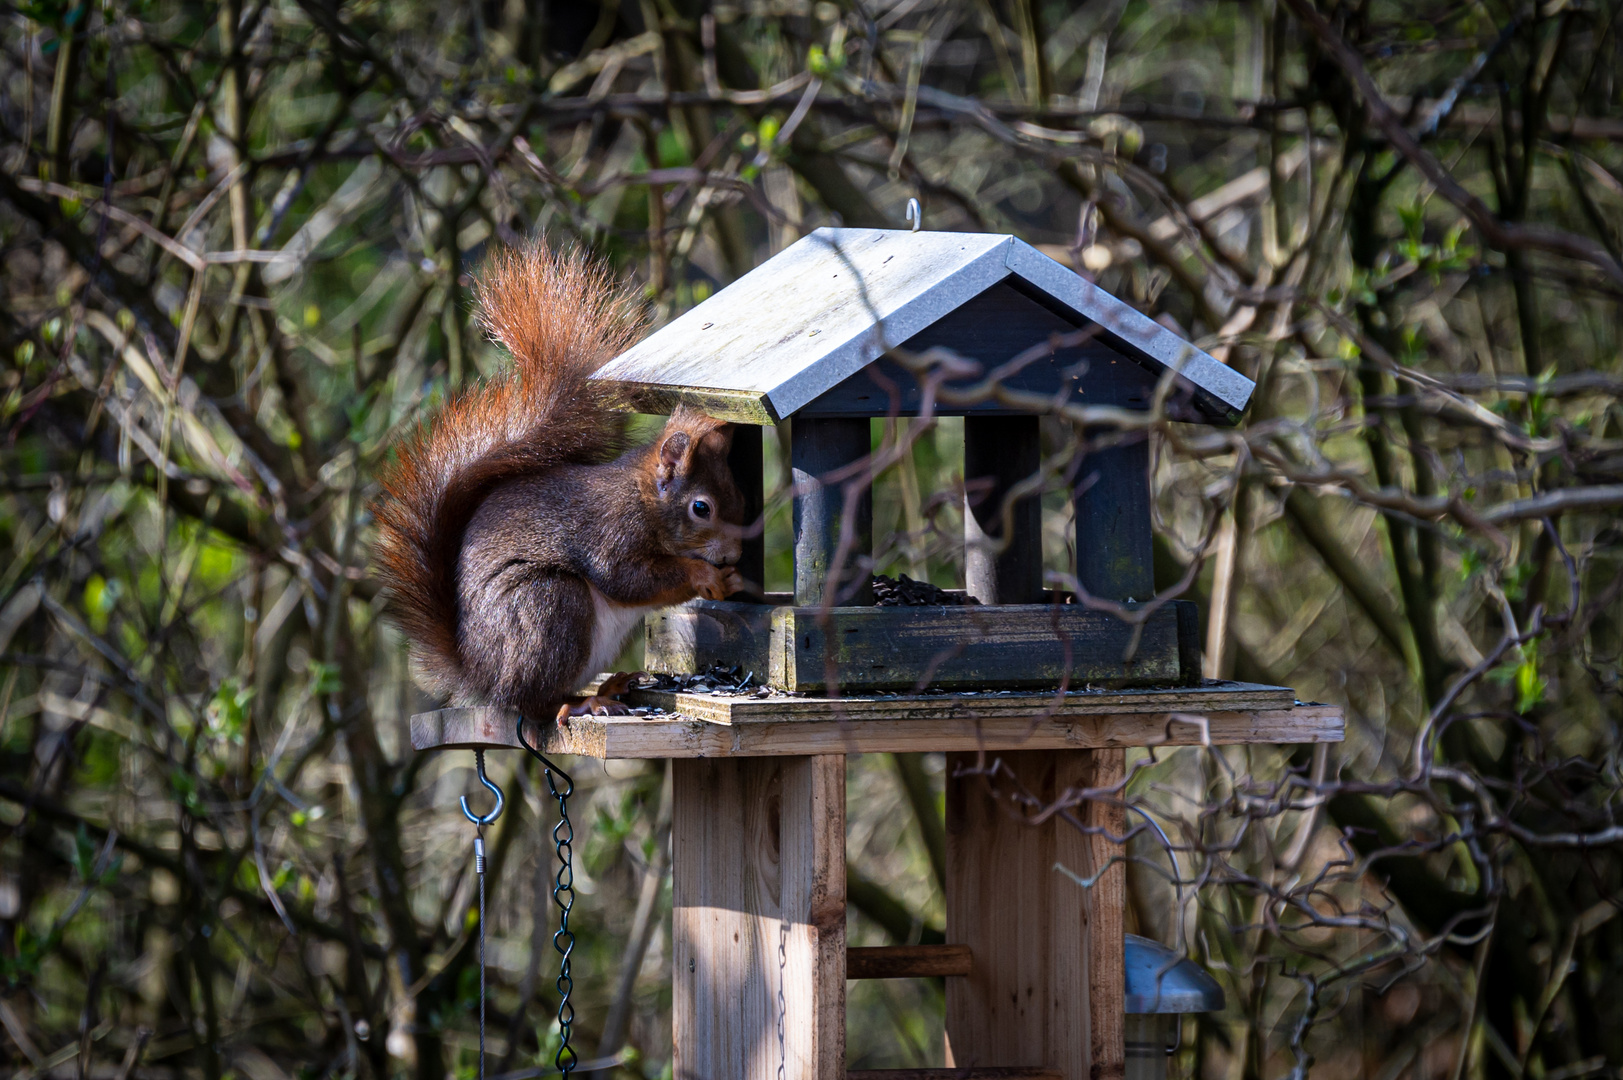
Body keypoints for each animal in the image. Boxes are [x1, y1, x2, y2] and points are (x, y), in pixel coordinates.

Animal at [371, 240, 743, 721]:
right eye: (701, 508)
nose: (735, 553)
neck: (642, 498)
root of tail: (478, 675)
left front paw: (731, 581)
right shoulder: (610, 532)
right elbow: (627, 579)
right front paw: (705, 574)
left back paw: (612, 687)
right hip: (548, 606)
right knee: (532, 701)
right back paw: (584, 702)